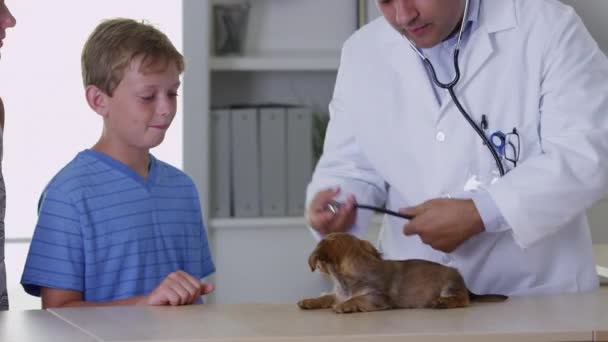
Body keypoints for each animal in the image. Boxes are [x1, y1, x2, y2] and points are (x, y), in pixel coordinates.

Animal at [296, 231, 506, 314]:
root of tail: (465, 286)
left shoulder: (377, 298)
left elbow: (358, 299)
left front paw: (345, 306)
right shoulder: (338, 294)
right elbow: (326, 297)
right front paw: (309, 301)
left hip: (450, 284)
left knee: (463, 300)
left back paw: (442, 302)